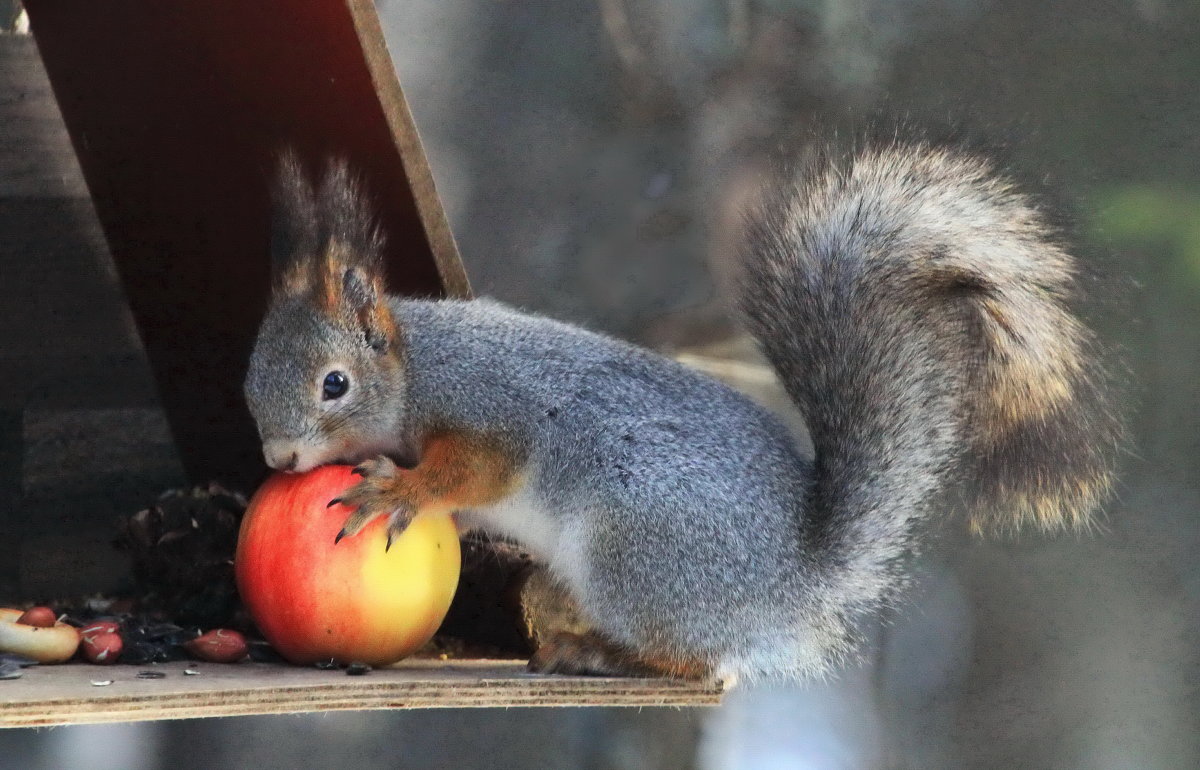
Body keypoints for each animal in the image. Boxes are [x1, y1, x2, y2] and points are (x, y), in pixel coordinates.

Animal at [243, 136, 1123, 676]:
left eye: (333, 383)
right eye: (249, 382)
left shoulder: (492, 407)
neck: (419, 367)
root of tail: (795, 582)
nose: (280, 459)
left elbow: (480, 468)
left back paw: (602, 655)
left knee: (699, 666)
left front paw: (401, 487)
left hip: (637, 551)